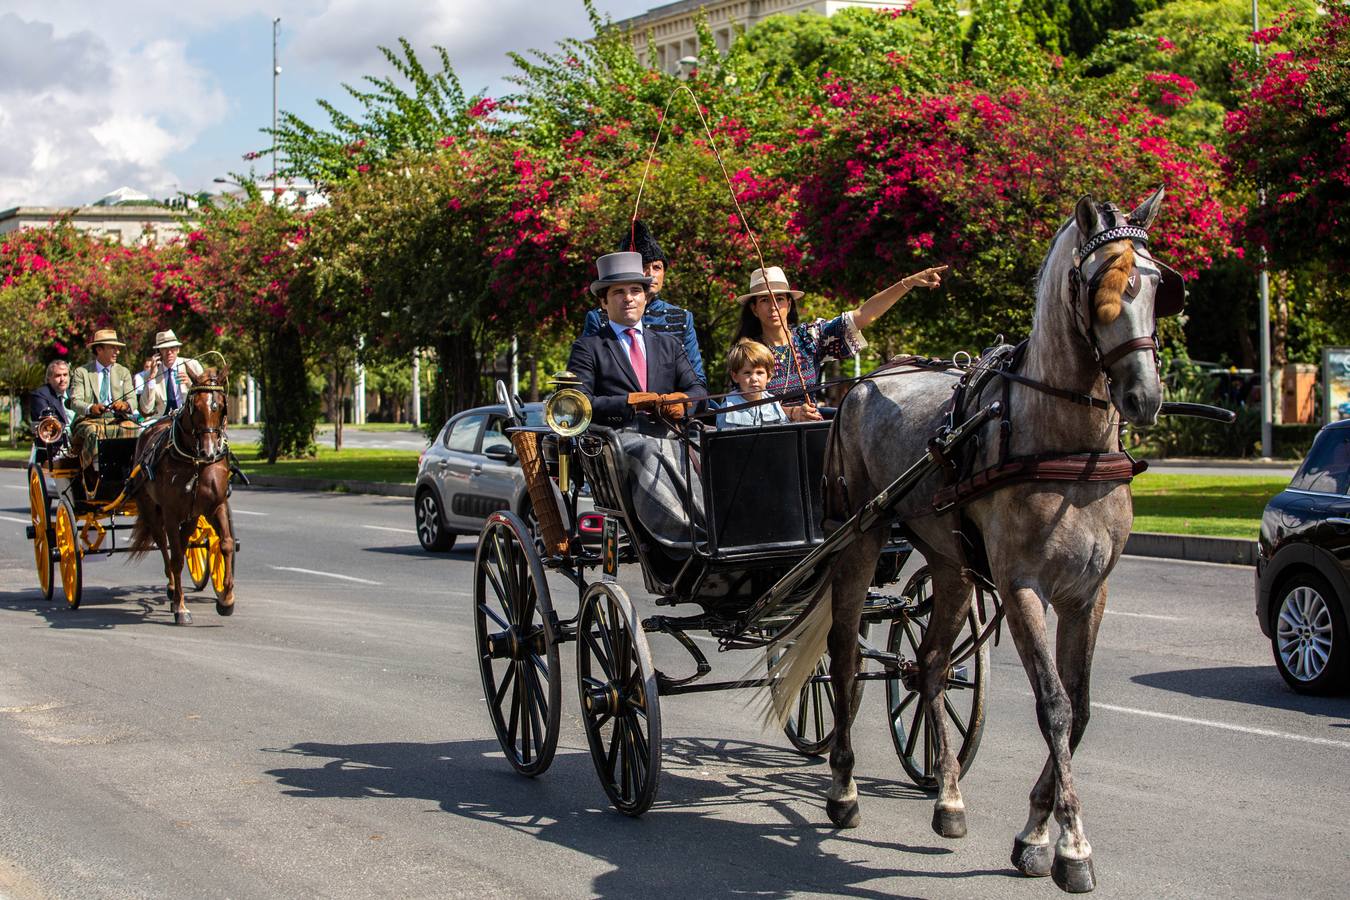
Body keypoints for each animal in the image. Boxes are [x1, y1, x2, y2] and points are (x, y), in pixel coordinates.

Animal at [127, 367, 236, 626]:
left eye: (220, 405)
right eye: (195, 406)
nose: (209, 452)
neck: (194, 461)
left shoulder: (216, 505)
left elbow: (225, 544)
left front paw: (226, 599)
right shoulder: (170, 512)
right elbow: (176, 557)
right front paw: (181, 607)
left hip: (191, 516)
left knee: (185, 542)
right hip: (152, 510)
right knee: (164, 546)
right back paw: (171, 589)